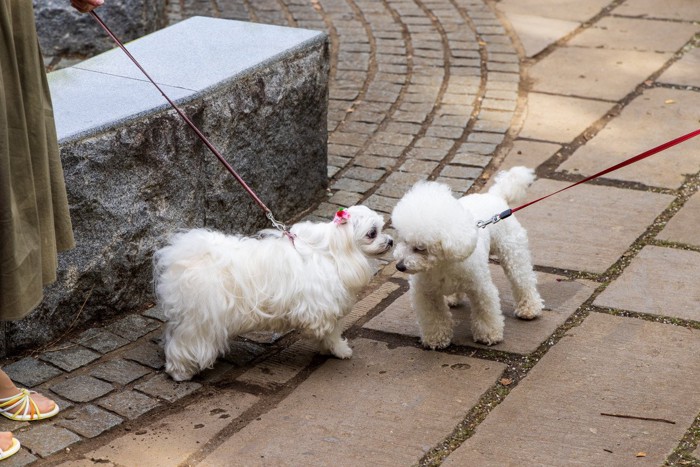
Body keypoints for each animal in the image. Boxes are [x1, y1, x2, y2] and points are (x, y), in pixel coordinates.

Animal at [154, 207, 394, 382]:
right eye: (372, 233)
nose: (391, 240)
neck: (334, 252)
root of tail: (185, 258)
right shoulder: (321, 309)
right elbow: (331, 332)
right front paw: (339, 349)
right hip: (200, 319)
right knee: (185, 343)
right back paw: (180, 372)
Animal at [392, 166, 544, 350]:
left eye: (420, 248)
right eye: (403, 240)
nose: (399, 266)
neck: (441, 265)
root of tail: (495, 195)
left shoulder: (481, 288)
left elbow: (485, 311)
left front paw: (488, 335)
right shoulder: (425, 293)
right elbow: (434, 317)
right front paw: (436, 338)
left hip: (513, 253)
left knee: (523, 280)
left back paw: (529, 308)